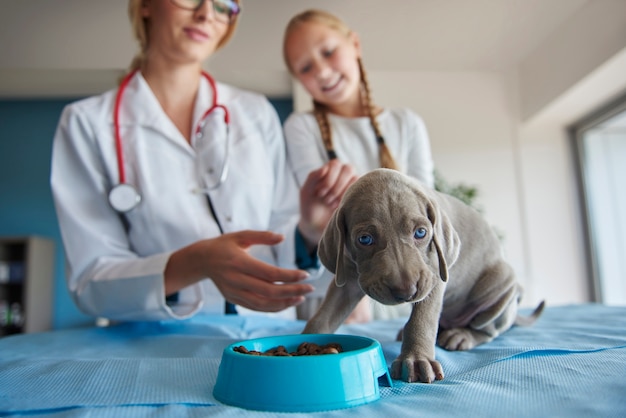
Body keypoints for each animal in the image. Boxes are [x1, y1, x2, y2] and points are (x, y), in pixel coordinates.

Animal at [302, 168, 540, 384]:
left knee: (489, 328)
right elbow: (324, 316)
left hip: (501, 288)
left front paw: (417, 360)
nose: (406, 291)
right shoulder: (348, 279)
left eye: (421, 233)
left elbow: (422, 319)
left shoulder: (433, 276)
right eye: (365, 239)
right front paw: (305, 341)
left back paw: (462, 335)